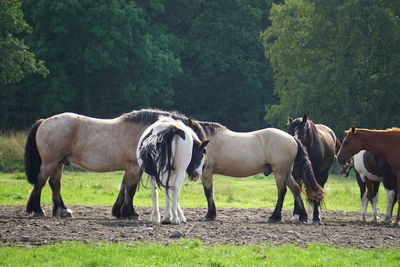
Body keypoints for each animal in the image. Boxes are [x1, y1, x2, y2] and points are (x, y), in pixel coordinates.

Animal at [24, 108, 206, 218]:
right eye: (199, 151)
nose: (196, 175)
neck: (148, 133)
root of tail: (44, 121)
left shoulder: (129, 170)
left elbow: (123, 188)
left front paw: (118, 211)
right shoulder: (134, 168)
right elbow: (130, 190)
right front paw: (130, 213)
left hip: (58, 163)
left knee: (55, 184)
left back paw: (62, 210)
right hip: (50, 162)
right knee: (40, 183)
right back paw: (37, 210)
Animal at [196, 121, 324, 222]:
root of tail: (293, 138)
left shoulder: (206, 172)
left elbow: (208, 193)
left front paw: (209, 215)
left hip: (280, 172)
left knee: (282, 191)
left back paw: (274, 217)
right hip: (286, 173)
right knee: (295, 189)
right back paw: (302, 216)